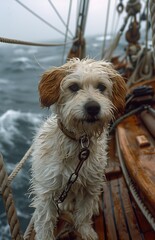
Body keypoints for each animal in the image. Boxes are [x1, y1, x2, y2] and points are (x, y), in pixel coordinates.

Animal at [30, 57, 126, 239]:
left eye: (101, 87)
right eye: (74, 87)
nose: (93, 107)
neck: (79, 142)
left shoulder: (90, 185)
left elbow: (84, 213)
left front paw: (86, 231)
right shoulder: (47, 190)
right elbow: (45, 221)